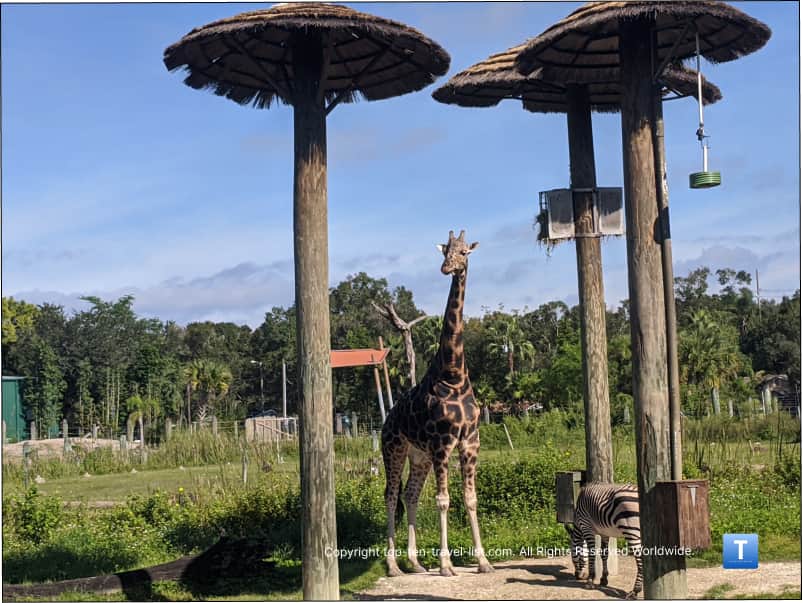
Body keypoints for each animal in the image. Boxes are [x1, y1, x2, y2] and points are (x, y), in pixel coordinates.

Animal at [381, 229, 493, 578]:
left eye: (464, 252)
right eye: (445, 251)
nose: (446, 268)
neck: (454, 375)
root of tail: (387, 419)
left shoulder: (470, 442)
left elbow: (470, 498)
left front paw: (483, 562)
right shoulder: (443, 443)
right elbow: (443, 499)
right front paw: (446, 565)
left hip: (420, 456)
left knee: (410, 494)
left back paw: (415, 562)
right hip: (394, 448)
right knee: (391, 494)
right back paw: (394, 566)